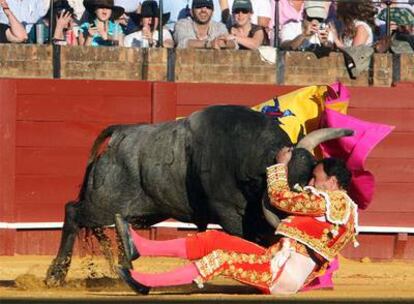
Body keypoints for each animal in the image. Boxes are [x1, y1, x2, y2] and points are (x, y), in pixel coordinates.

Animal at [45, 105, 350, 288]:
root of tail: (121, 133)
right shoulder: (229, 212)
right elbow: (248, 240)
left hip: (133, 209)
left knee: (104, 225)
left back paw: (122, 264)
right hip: (103, 203)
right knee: (73, 212)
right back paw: (56, 275)